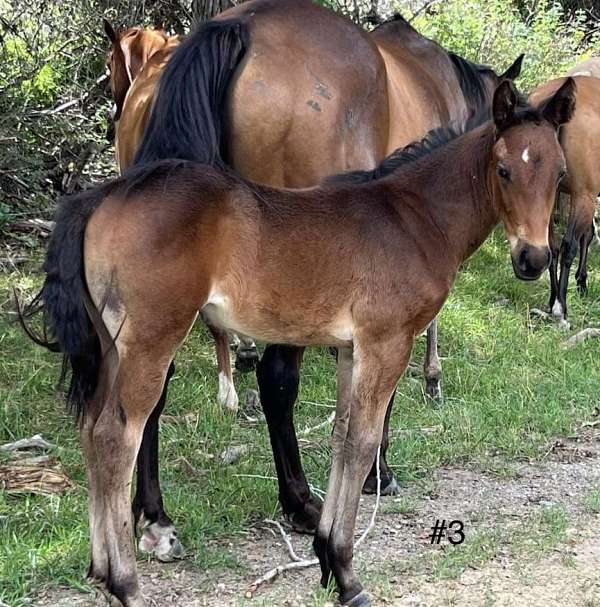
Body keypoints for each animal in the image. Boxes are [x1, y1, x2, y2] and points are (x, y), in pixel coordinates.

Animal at [25, 77, 576, 607]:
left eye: (558, 173)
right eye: (503, 170)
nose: (532, 259)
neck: (414, 217)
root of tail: (101, 197)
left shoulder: (351, 348)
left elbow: (342, 438)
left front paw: (329, 561)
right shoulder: (386, 342)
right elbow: (363, 442)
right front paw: (348, 574)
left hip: (111, 347)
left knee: (91, 429)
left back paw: (101, 572)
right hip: (150, 340)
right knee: (116, 437)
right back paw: (127, 583)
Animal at [101, 0, 524, 564]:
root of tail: (239, 27)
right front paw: (381, 466)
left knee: (154, 379)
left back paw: (155, 516)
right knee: (276, 379)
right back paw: (299, 502)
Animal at [528, 73, 600, 328]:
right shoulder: (586, 195)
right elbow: (584, 237)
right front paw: (581, 282)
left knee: (551, 246)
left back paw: (551, 303)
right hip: (583, 196)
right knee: (569, 245)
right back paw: (561, 308)